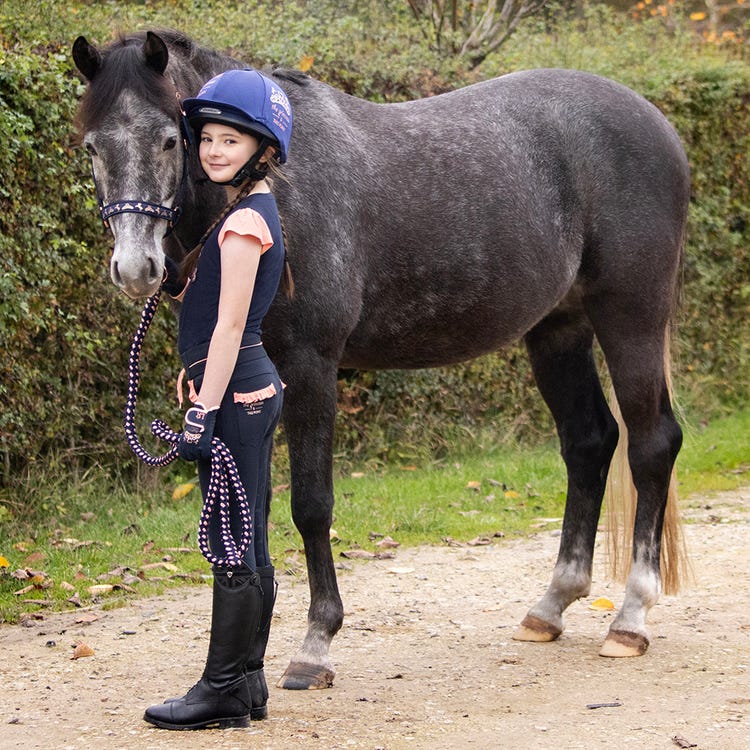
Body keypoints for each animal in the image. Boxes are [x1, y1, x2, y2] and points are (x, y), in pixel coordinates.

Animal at [73, 32, 692, 692]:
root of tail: (656, 122)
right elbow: (249, 510)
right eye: (91, 146)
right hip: (557, 329)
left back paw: (630, 617)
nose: (136, 268)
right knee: (588, 442)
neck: (279, 187)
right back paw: (550, 607)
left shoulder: (311, 368)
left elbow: (310, 505)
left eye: (170, 139)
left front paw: (315, 645)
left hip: (630, 316)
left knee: (652, 443)